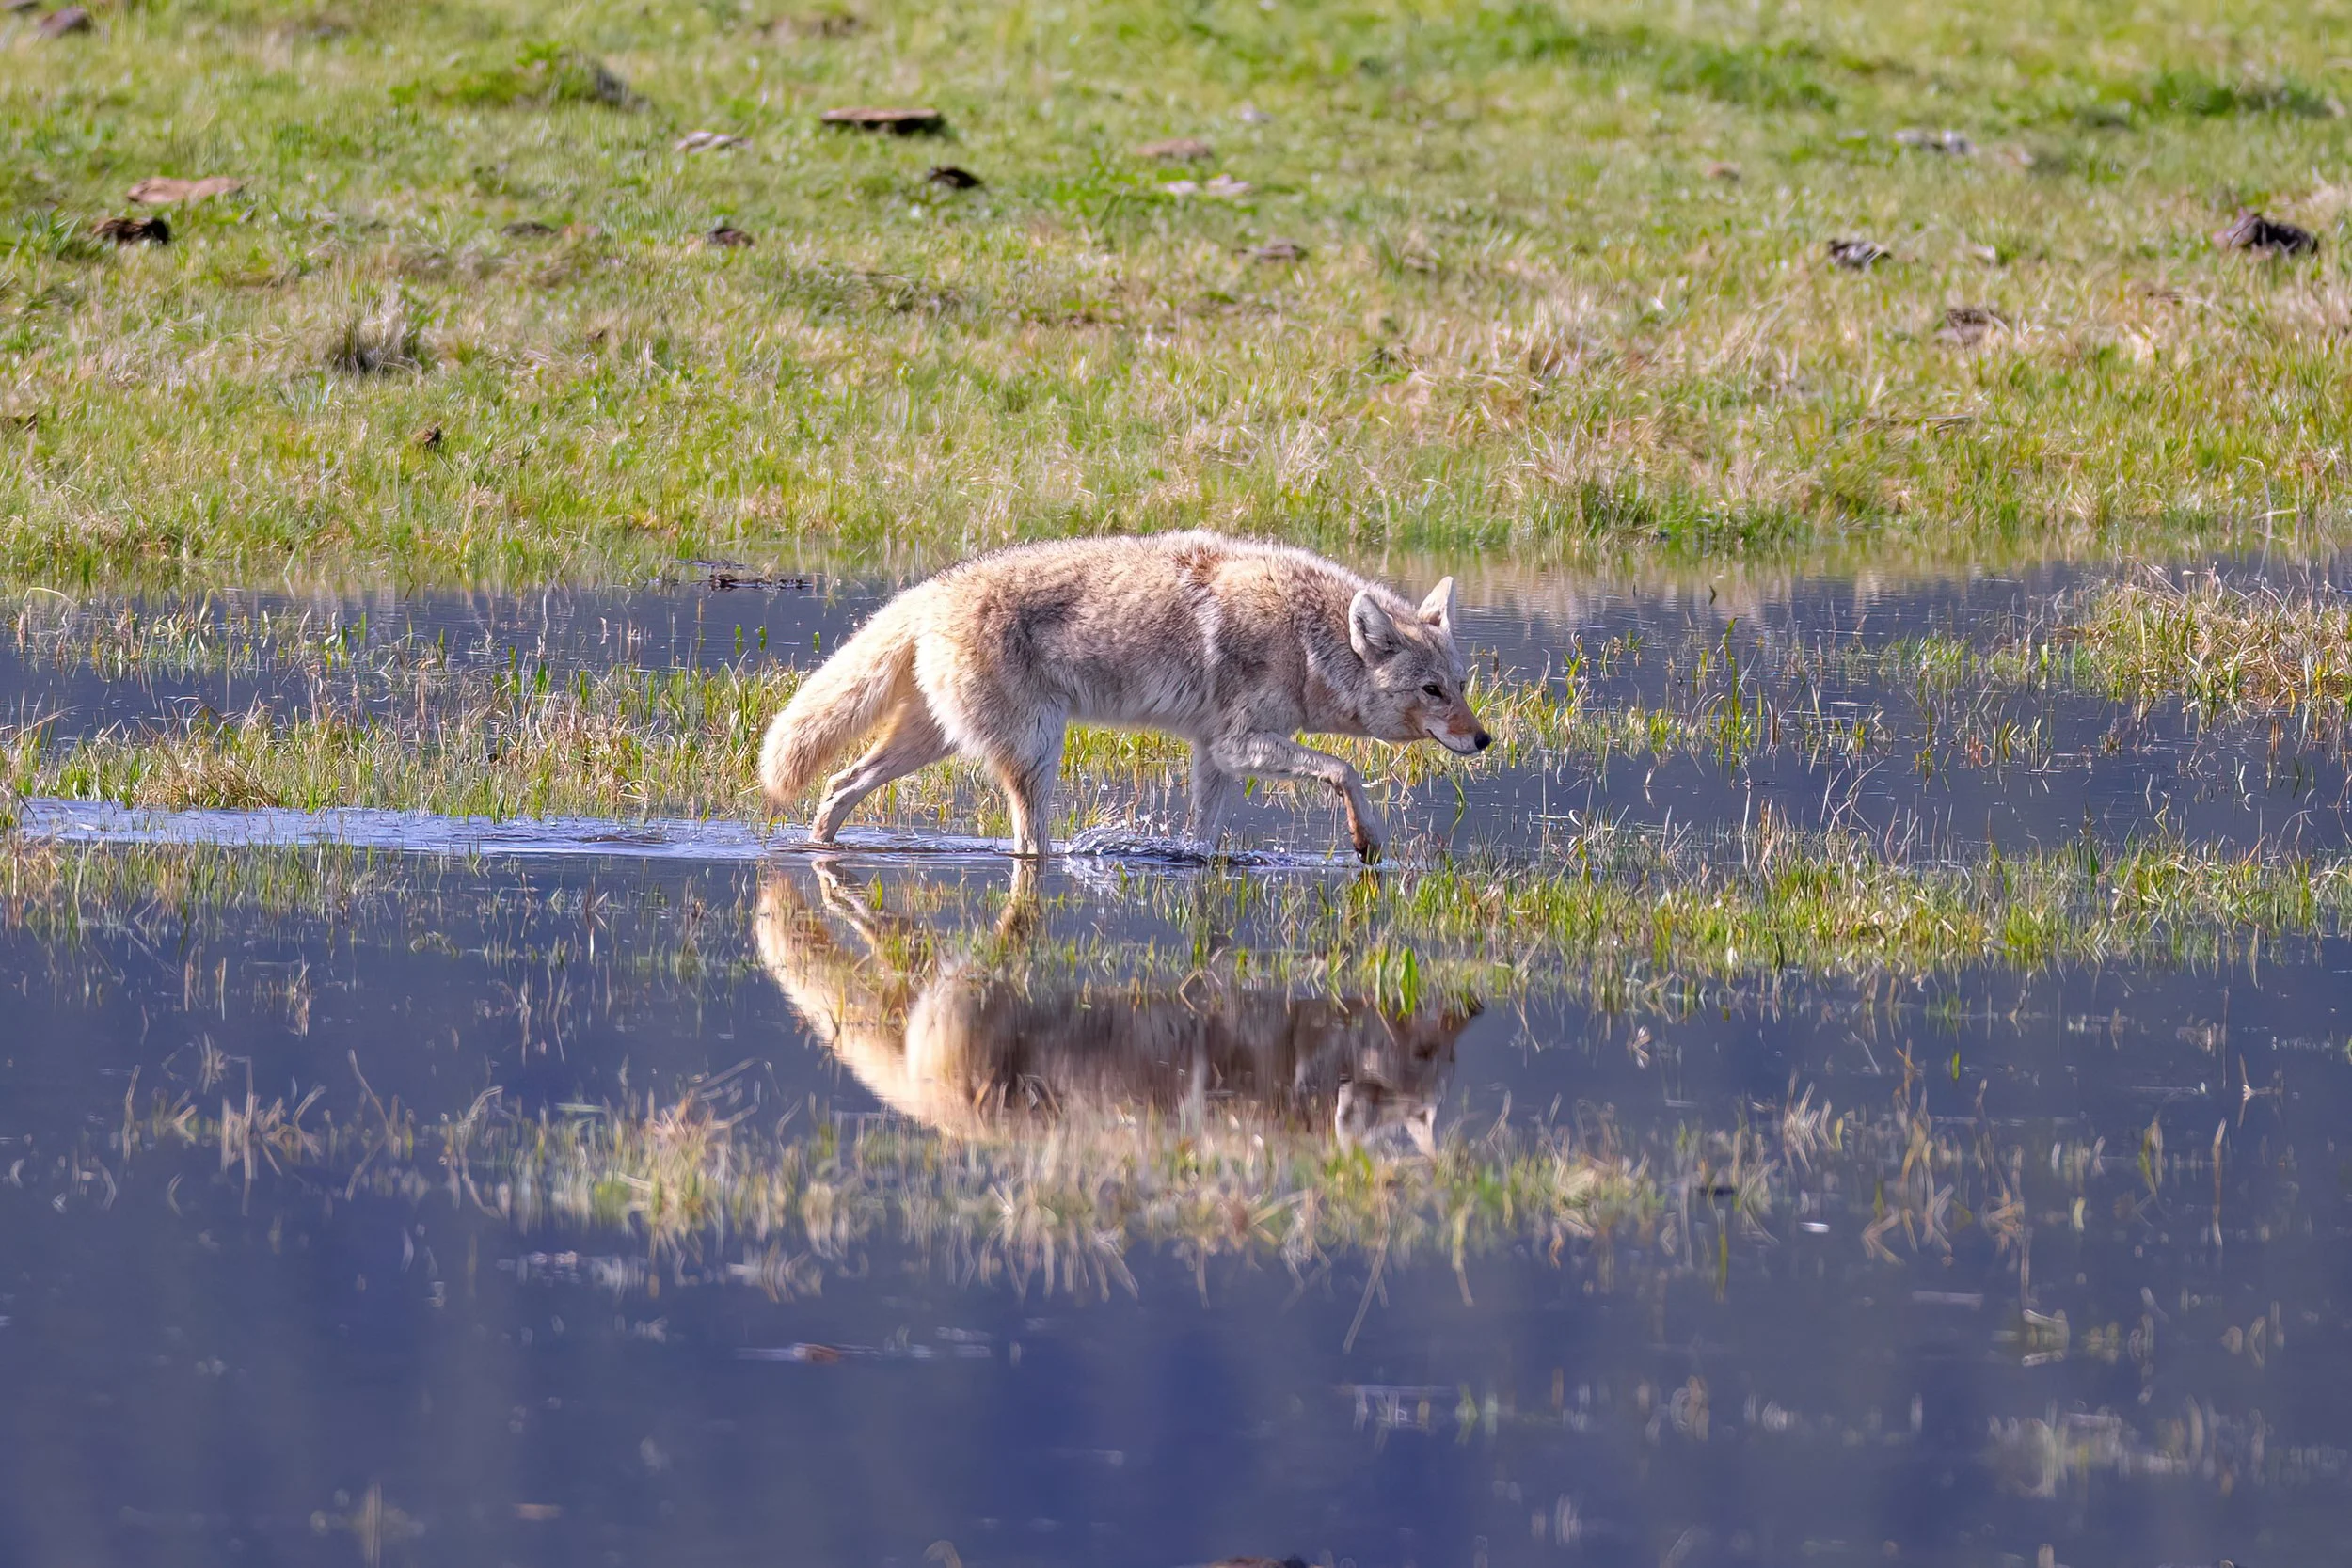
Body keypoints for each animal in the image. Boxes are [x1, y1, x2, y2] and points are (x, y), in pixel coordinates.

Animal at [757, 531, 1490, 861]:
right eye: (1431, 691)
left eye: (1461, 686)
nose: (1483, 739)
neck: (1306, 639)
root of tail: (930, 590)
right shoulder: (1239, 744)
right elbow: (1347, 768)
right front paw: (1367, 840)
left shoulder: (1216, 756)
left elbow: (1205, 837)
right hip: (1034, 756)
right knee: (1029, 847)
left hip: (927, 744)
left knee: (839, 786)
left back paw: (819, 846)